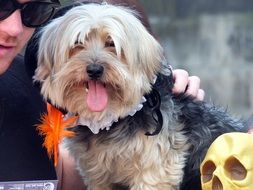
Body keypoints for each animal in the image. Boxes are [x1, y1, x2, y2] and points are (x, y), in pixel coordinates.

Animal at [34, 2, 245, 190]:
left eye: (111, 44)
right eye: (78, 43)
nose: (94, 70)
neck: (112, 119)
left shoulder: (155, 171)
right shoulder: (97, 176)